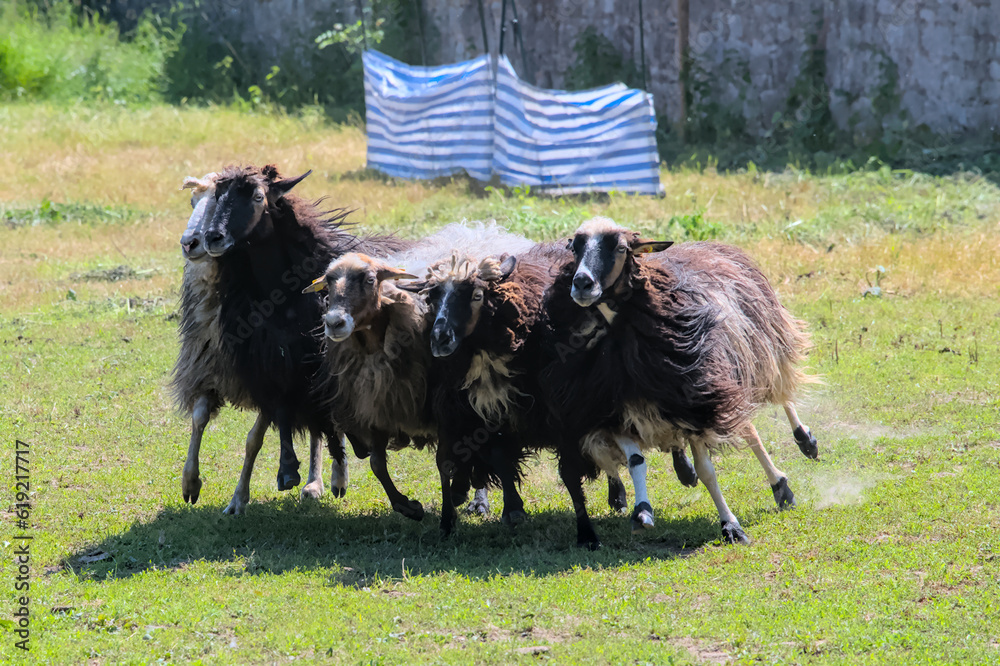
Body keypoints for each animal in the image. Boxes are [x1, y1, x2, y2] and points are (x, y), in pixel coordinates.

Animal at [200, 164, 406, 514]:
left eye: (258, 197)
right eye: (217, 195)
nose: (212, 237)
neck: (281, 296)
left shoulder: (312, 363)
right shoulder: (275, 362)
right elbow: (280, 414)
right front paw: (287, 469)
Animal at [540, 217, 817, 549]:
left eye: (620, 247)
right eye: (575, 247)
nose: (581, 283)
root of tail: (712, 245)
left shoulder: (697, 401)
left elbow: (708, 472)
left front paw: (731, 526)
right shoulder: (615, 411)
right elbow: (635, 460)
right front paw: (642, 512)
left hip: (762, 346)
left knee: (777, 397)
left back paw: (803, 445)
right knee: (747, 424)